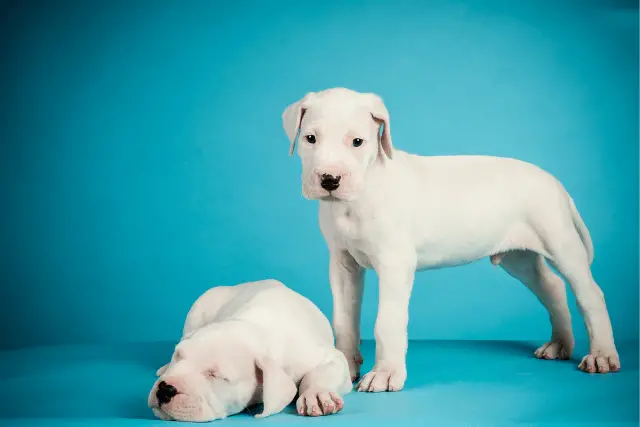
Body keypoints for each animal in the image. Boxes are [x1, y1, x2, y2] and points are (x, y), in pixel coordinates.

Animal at [148, 280, 352, 422]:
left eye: (216, 375)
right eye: (178, 355)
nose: (166, 389)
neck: (258, 329)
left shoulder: (329, 357)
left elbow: (320, 372)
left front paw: (317, 394)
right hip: (198, 308)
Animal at [280, 88, 620, 394]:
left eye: (357, 142)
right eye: (310, 139)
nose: (329, 180)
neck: (361, 194)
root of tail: (555, 182)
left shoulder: (395, 263)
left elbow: (387, 321)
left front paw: (385, 374)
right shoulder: (343, 263)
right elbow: (344, 319)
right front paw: (344, 366)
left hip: (559, 242)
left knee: (590, 294)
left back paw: (602, 355)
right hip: (519, 257)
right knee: (552, 287)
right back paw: (559, 344)